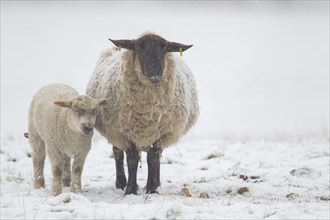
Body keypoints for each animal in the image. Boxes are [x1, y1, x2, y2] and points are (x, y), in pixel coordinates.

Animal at [86, 32, 199, 194]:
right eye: (139, 47)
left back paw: (156, 183)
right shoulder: (124, 131)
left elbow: (153, 158)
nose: (155, 71)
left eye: (164, 48)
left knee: (157, 155)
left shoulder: (162, 131)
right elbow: (132, 159)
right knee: (117, 153)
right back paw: (121, 183)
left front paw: (152, 188)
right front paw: (131, 190)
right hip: (114, 132)